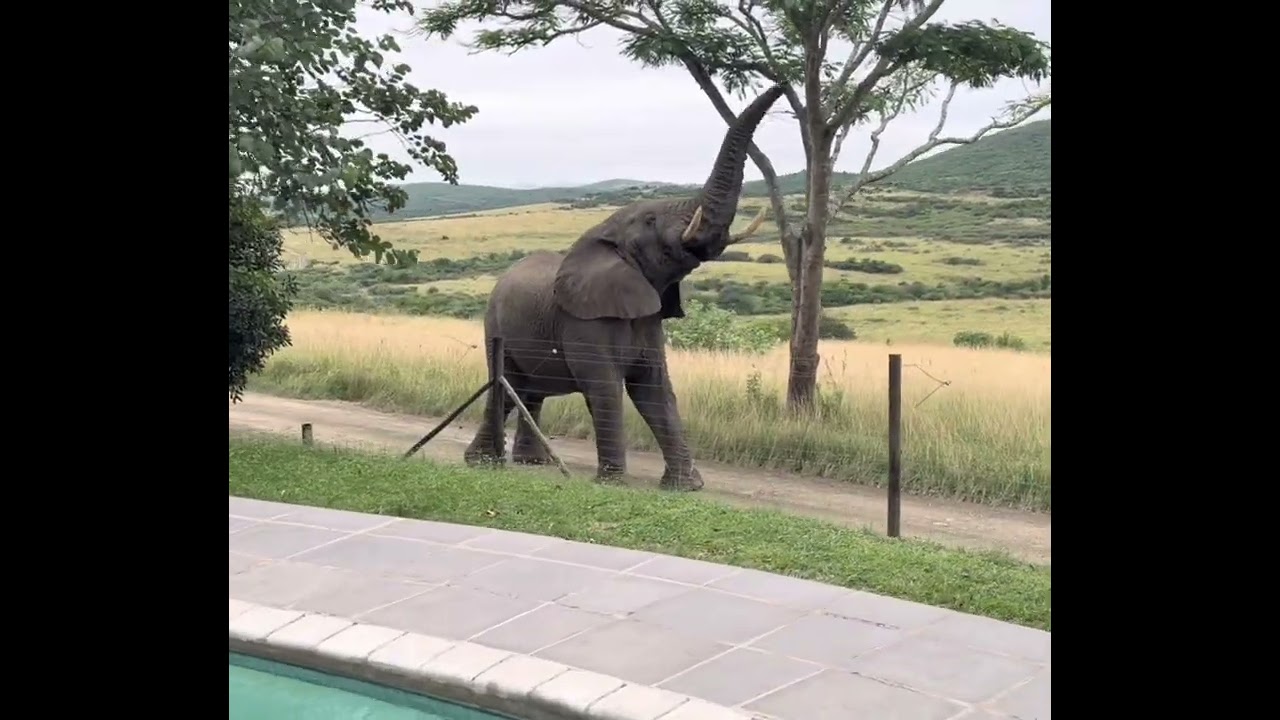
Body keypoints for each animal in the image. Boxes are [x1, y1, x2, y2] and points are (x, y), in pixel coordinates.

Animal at [463, 83, 787, 491]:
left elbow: (654, 388)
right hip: (495, 326)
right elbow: (606, 386)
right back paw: (483, 463)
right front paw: (613, 482)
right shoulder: (585, 322)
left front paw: (685, 486)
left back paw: (531, 463)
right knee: (504, 385)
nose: (784, 84)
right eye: (650, 220)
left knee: (527, 390)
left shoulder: (648, 317)